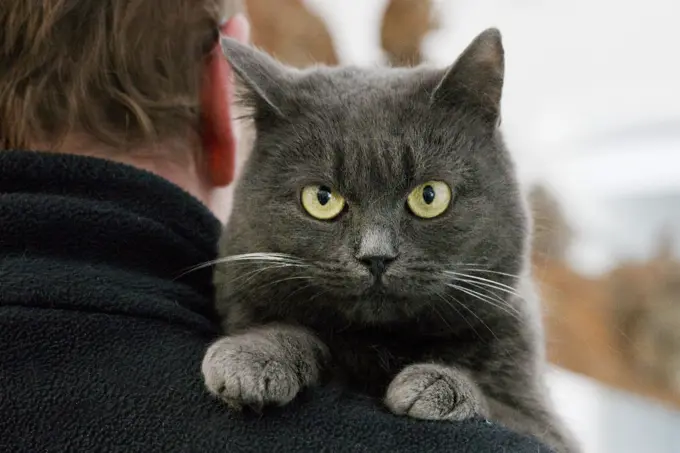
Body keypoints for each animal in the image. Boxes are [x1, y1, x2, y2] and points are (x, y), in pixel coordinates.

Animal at [203, 29, 580, 452]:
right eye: (321, 198)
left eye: (430, 195)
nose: (376, 255)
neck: (379, 348)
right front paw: (250, 358)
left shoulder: (545, 426)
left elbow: (500, 407)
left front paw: (437, 385)